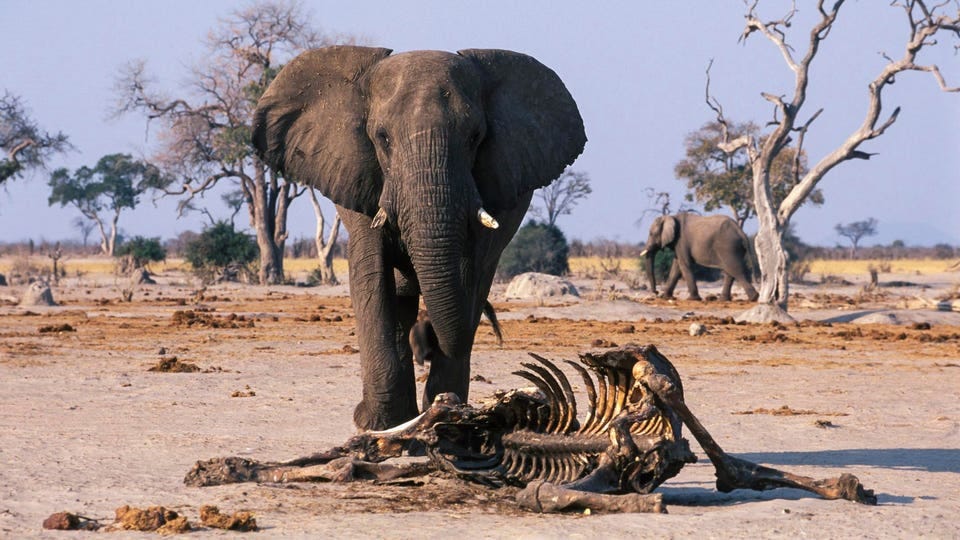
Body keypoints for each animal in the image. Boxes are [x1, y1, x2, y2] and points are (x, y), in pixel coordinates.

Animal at [252, 46, 586, 430]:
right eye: (382, 138)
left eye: (475, 138)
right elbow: (372, 276)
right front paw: (376, 424)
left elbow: (470, 277)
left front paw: (446, 413)